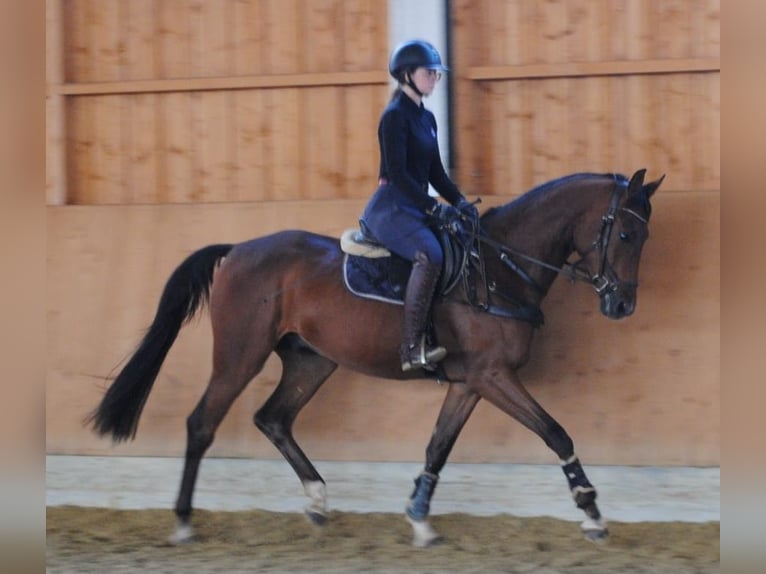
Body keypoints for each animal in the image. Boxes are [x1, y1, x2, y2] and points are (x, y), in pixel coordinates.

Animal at [88, 168, 664, 548]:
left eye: (646, 235)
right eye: (626, 232)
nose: (621, 305)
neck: (500, 266)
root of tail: (238, 250)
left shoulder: (470, 382)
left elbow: (438, 447)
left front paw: (420, 517)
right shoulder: (493, 375)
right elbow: (556, 432)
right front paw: (591, 511)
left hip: (312, 360)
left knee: (272, 417)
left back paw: (317, 500)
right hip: (240, 356)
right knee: (203, 423)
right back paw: (184, 521)